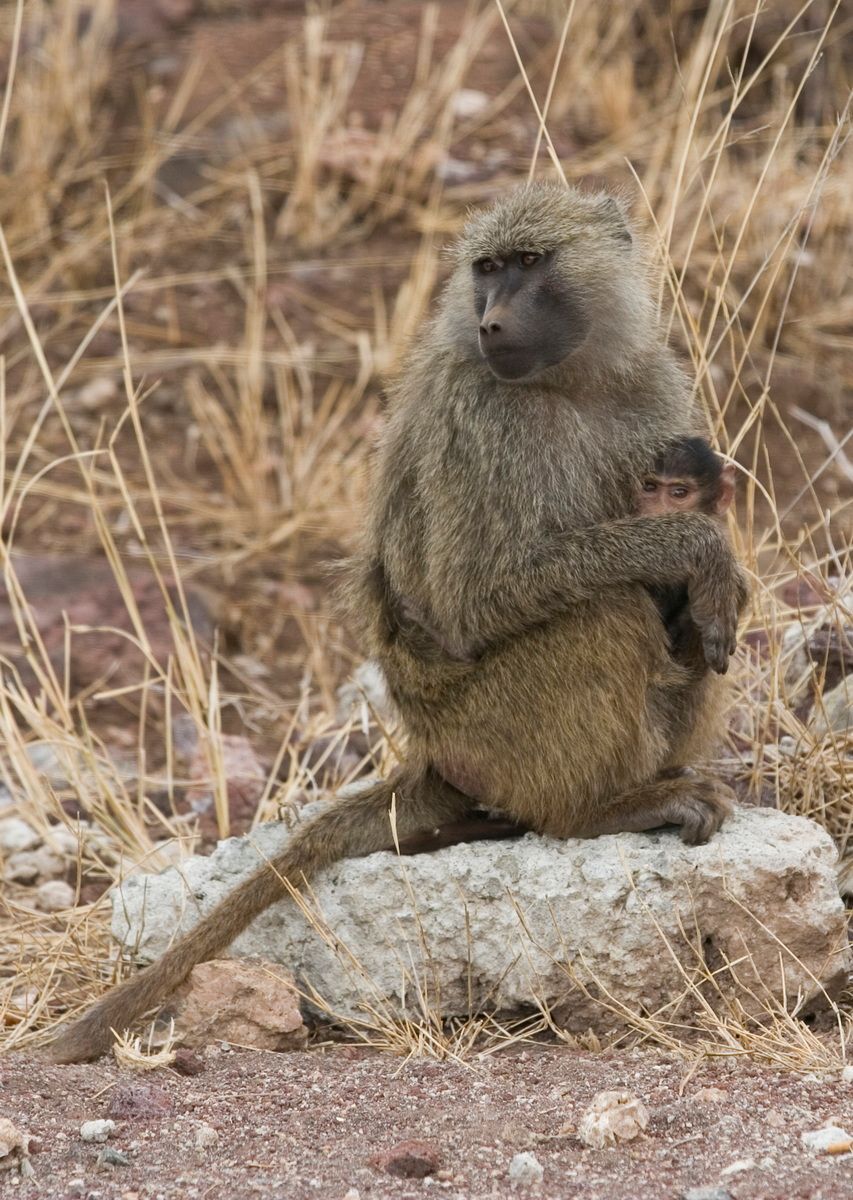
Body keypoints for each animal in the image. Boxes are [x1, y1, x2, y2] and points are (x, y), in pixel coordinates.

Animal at [50, 183, 749, 1063]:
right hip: (485, 730)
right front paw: (699, 551)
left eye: (530, 262)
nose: (491, 324)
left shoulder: (648, 384)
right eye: (486, 268)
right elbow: (475, 595)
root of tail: (432, 755)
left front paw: (709, 560)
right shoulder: (482, 419)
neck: (568, 380)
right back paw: (597, 810)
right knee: (607, 612)